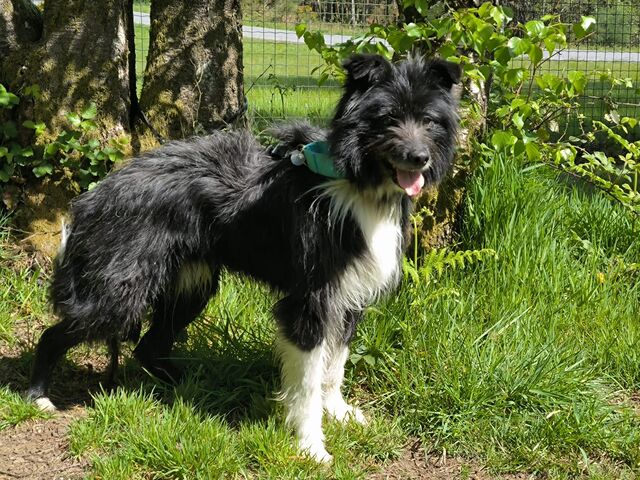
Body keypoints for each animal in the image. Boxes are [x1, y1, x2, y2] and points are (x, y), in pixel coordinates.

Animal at [27, 53, 461, 462]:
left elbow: (335, 365)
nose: (419, 157)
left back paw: (186, 386)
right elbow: (308, 381)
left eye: (428, 120)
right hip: (120, 291)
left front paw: (338, 412)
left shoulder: (348, 296)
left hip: (191, 286)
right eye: (387, 119)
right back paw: (38, 395)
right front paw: (311, 445)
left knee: (149, 346)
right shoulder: (309, 303)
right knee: (54, 335)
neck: (355, 181)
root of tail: (93, 197)